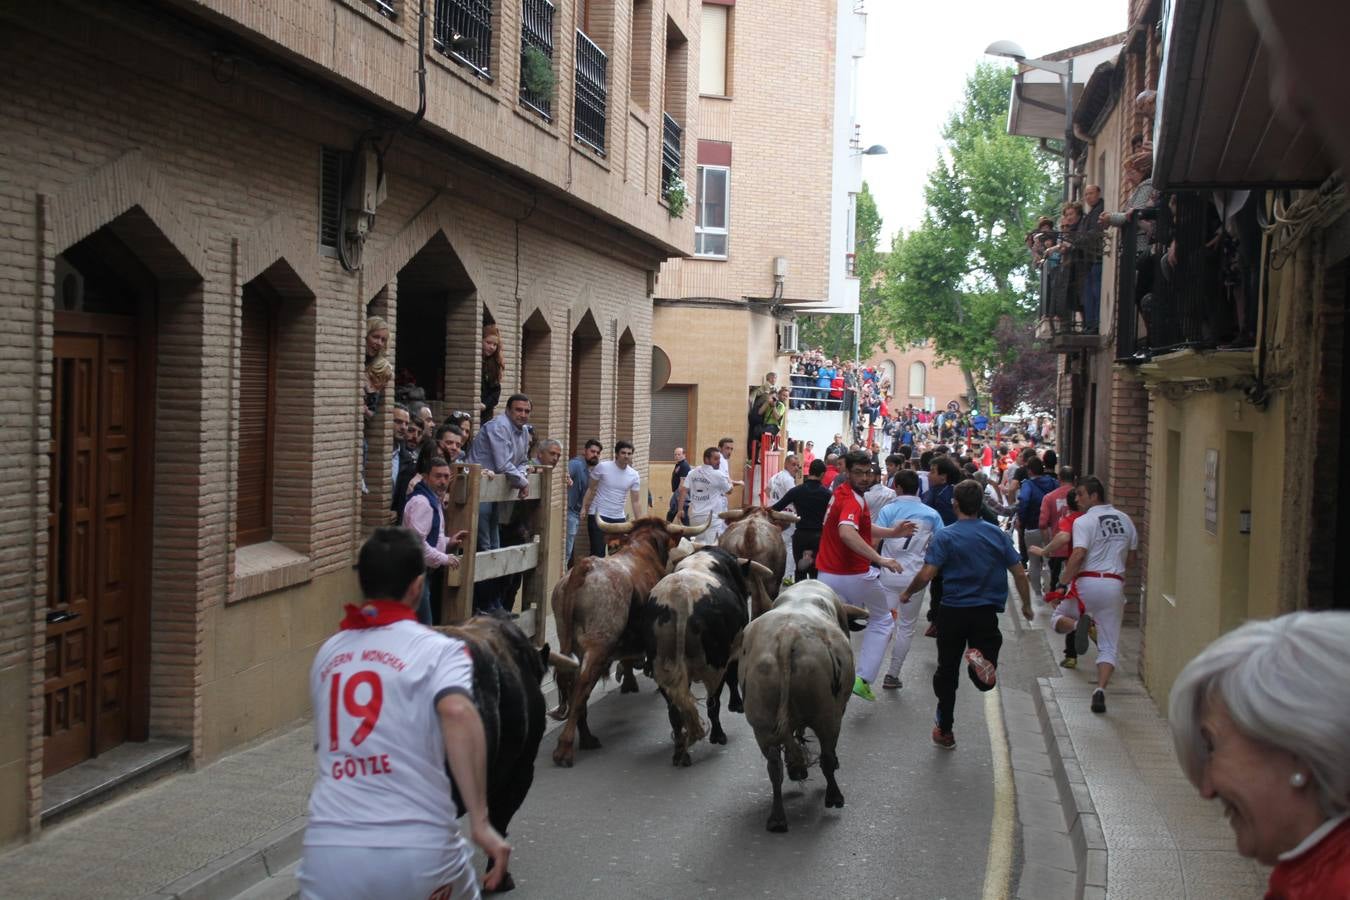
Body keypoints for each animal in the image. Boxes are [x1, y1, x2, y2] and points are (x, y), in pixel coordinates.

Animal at [545, 512, 707, 766]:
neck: (643, 548)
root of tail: (585, 567)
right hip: (599, 643)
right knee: (582, 684)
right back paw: (566, 747)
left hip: (567, 640)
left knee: (572, 681)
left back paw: (587, 736)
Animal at [739, 580, 864, 836]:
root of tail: (788, 636)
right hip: (827, 716)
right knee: (827, 757)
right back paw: (834, 797)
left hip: (762, 725)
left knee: (774, 767)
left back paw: (777, 818)